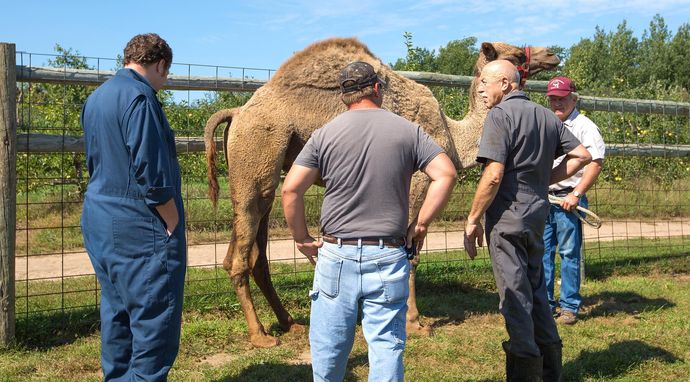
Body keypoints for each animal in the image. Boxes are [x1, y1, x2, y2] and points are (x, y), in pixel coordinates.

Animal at [204, 37, 560, 348]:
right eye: (517, 54)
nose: (553, 55)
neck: (453, 136)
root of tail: (237, 113)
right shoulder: (418, 178)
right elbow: (411, 252)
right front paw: (415, 323)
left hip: (260, 171)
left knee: (255, 254)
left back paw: (289, 323)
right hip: (257, 154)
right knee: (239, 255)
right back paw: (260, 336)